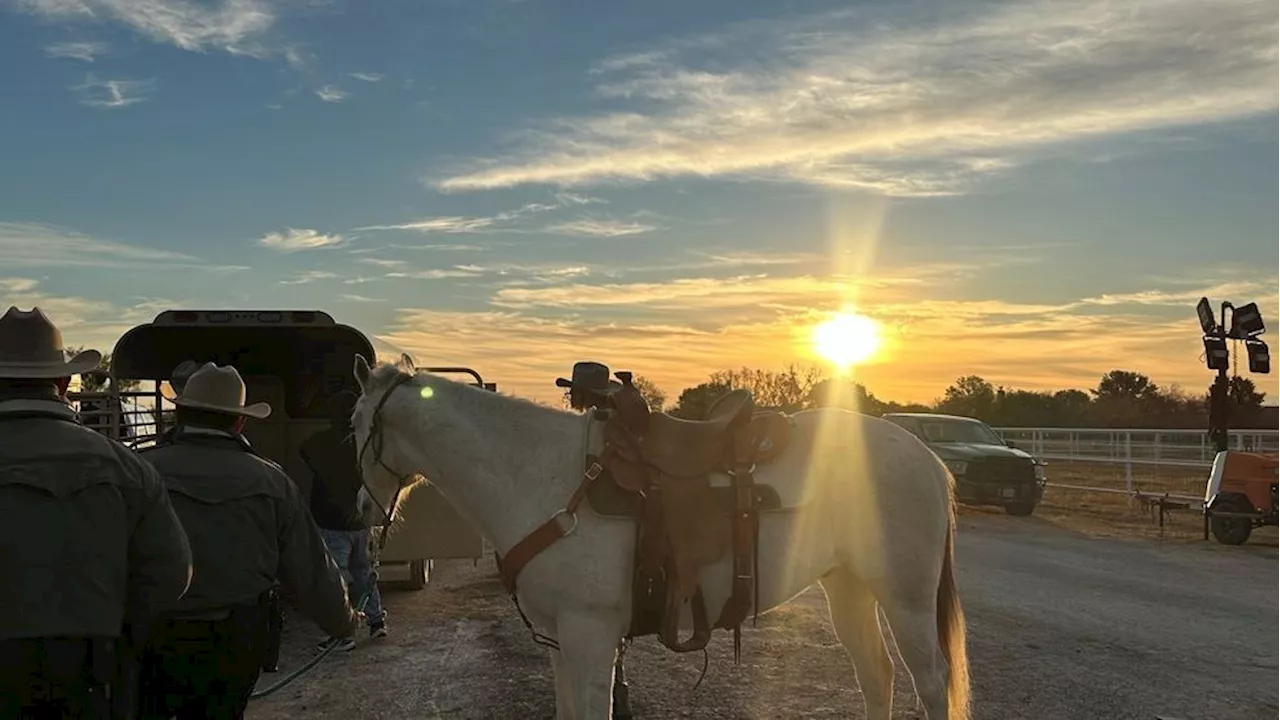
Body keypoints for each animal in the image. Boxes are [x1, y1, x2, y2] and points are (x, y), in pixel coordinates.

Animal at [350, 353, 967, 717]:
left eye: (356, 422)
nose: (360, 511)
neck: (539, 475)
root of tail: (926, 457)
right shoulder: (560, 639)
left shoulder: (590, 633)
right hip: (848, 586)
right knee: (877, 676)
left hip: (905, 599)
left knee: (930, 681)